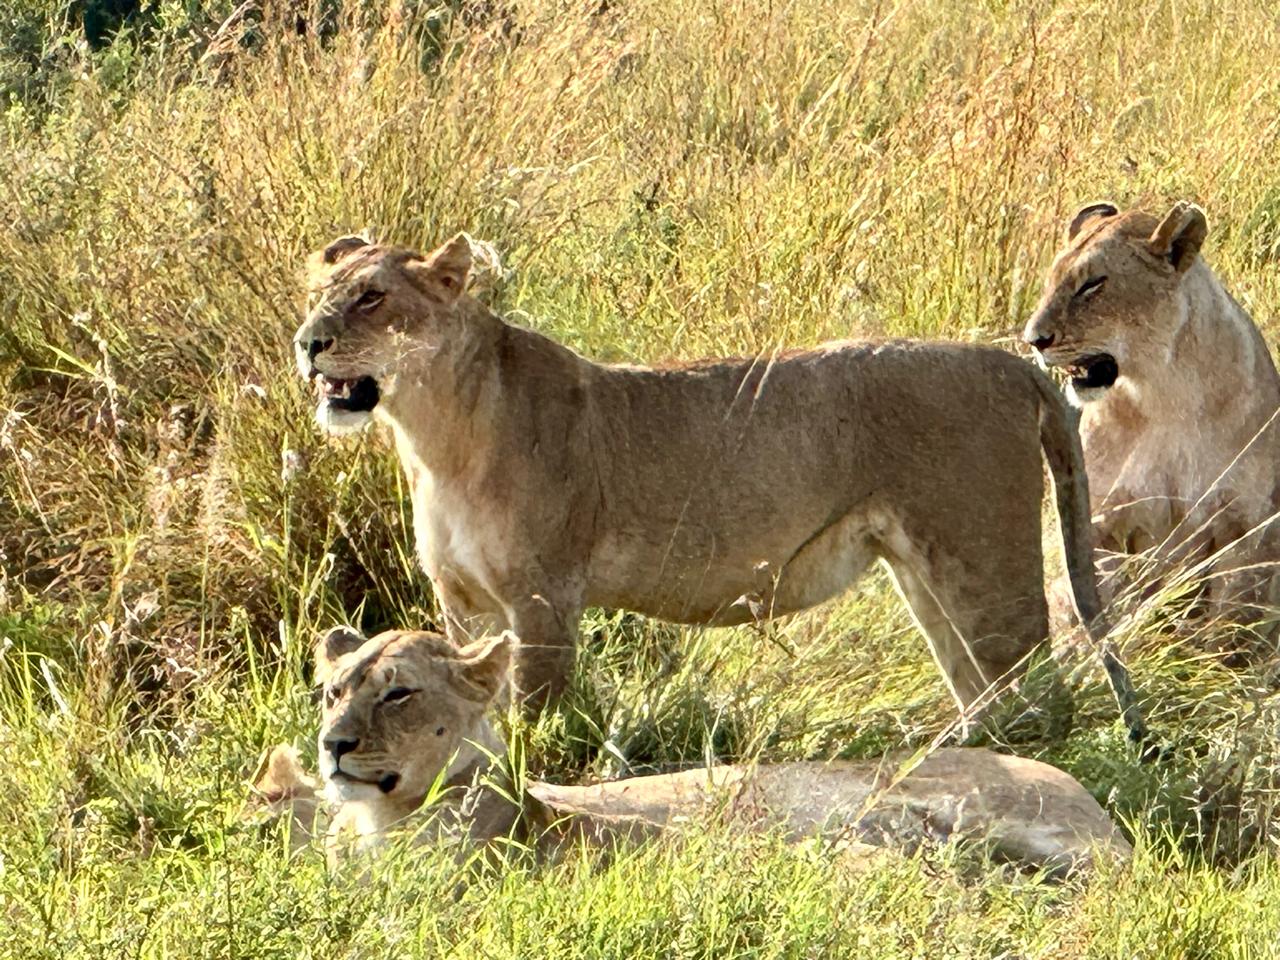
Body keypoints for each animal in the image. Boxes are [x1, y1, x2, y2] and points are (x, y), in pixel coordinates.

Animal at [293, 233, 1145, 744]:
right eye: (317, 294)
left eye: (371, 297)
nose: (307, 344)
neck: (434, 436)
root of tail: (1013, 365)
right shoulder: (463, 604)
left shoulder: (542, 597)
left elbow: (538, 719)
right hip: (928, 571)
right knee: (986, 689)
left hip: (982, 562)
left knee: (1042, 694)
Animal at [1022, 201, 1280, 635]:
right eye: (1050, 281)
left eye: (1092, 285)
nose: (1033, 340)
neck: (1165, 394)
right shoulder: (1100, 521)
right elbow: (1105, 604)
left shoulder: (1246, 529)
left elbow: (1227, 628)